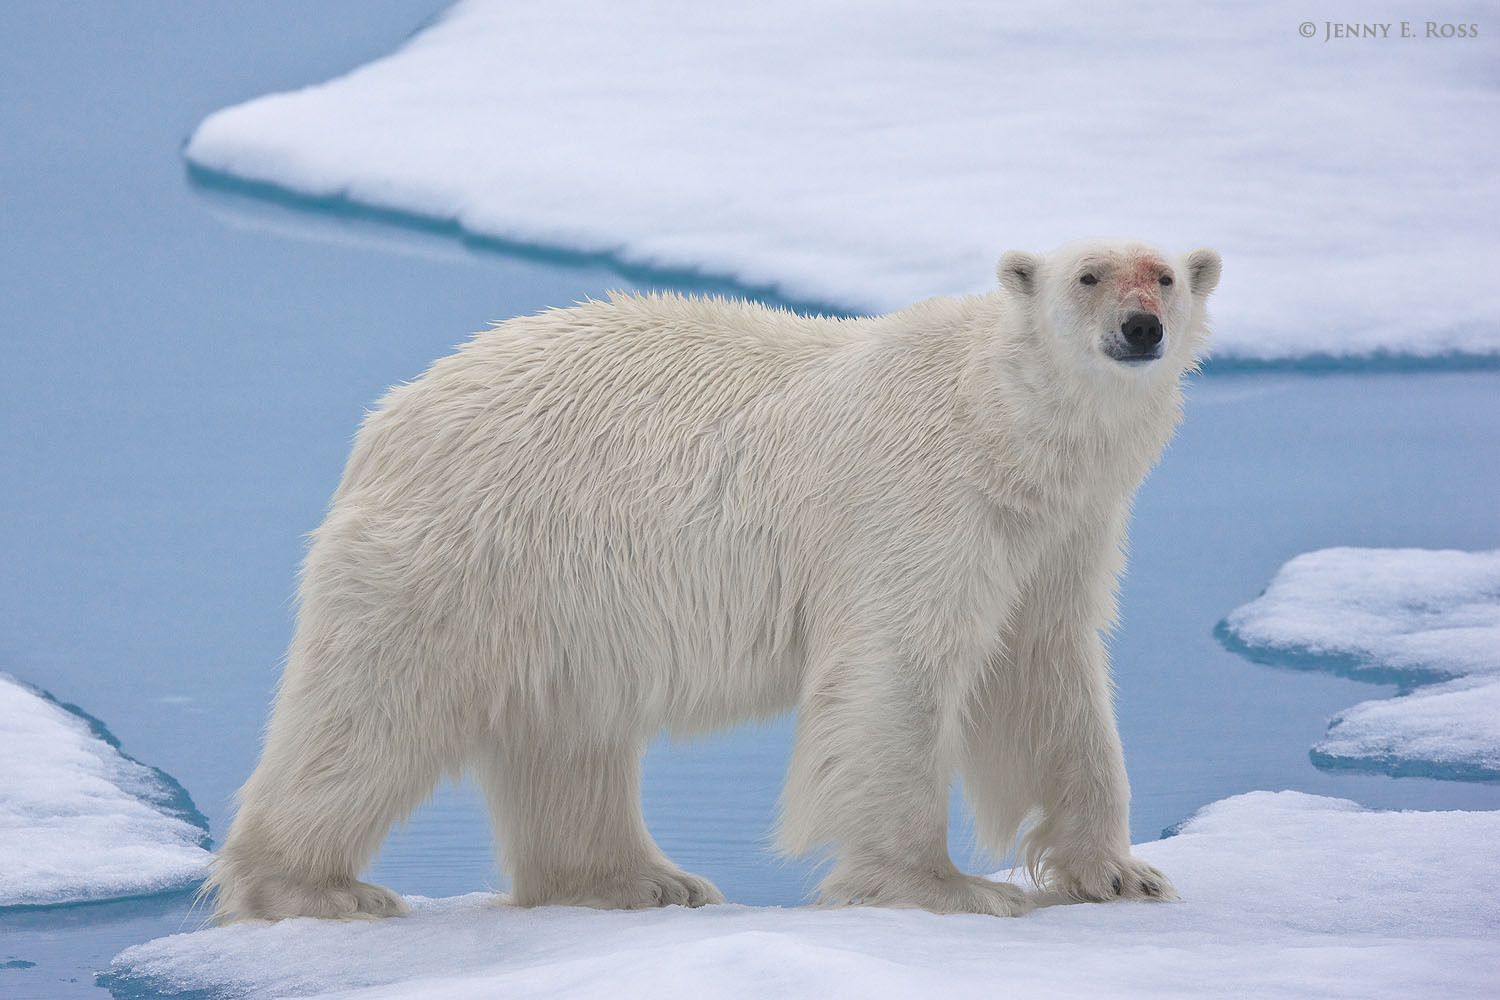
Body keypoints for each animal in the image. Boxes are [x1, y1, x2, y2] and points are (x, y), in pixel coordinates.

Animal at [207, 239, 1222, 923]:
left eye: (1166, 275)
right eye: (1088, 275)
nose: (1140, 328)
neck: (997, 424)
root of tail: (389, 417)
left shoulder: (1060, 533)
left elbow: (1047, 671)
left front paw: (1122, 872)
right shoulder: (918, 501)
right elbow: (897, 672)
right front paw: (946, 885)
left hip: (556, 595)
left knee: (566, 739)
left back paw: (639, 880)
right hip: (460, 553)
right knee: (373, 711)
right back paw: (316, 887)